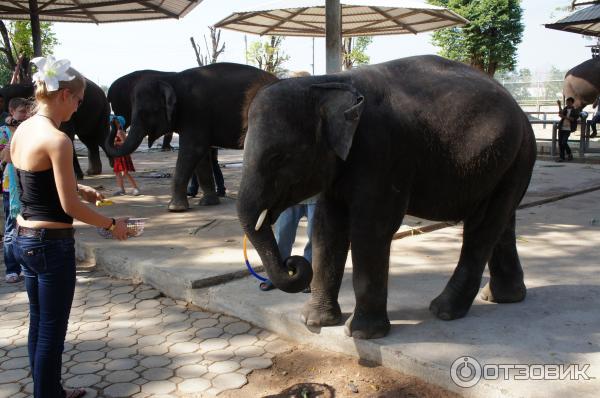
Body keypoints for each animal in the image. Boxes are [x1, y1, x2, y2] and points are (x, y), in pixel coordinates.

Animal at [104, 62, 278, 211]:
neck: (170, 77)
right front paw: (208, 203)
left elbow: (193, 150)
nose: (114, 120)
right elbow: (201, 157)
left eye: (147, 112)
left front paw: (175, 209)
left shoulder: (194, 112)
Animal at [237, 55, 536, 338]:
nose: (292, 264)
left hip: (512, 155)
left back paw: (443, 310)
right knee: (502, 222)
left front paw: (361, 334)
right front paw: (314, 321)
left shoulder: (383, 151)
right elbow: (327, 227)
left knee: (482, 227)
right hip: (511, 163)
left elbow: (371, 229)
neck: (326, 82)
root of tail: (523, 114)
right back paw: (502, 297)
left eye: (278, 157)